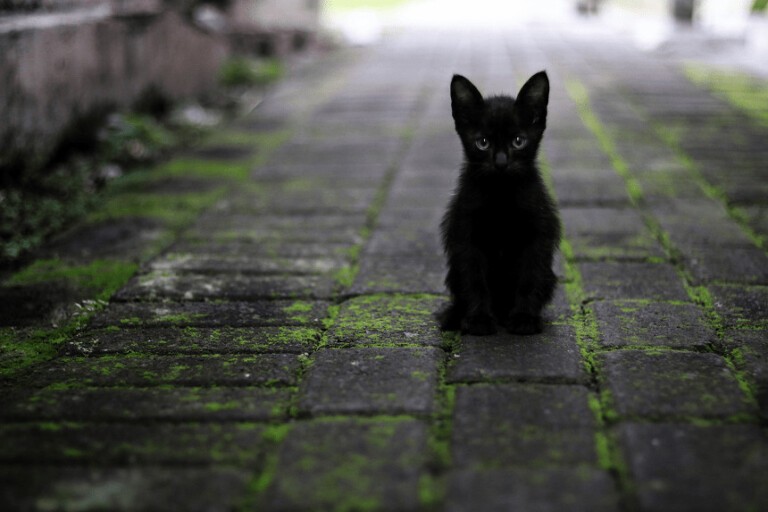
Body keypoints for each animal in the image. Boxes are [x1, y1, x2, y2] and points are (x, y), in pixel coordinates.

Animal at [440, 72, 560, 336]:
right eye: (483, 142)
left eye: (518, 141)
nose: (502, 162)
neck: (501, 195)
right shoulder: (466, 237)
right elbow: (474, 280)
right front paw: (479, 320)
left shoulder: (537, 235)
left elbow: (529, 278)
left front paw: (524, 318)